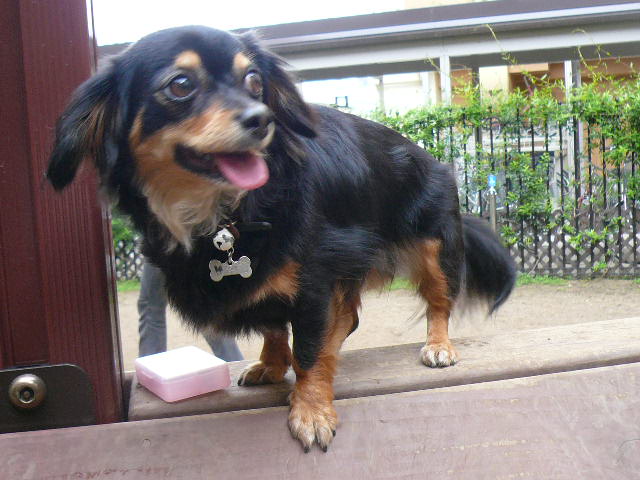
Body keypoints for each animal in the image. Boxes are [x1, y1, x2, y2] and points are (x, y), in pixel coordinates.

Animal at [47, 26, 516, 452]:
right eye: (180, 85)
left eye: (255, 81)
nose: (262, 118)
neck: (225, 213)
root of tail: (433, 159)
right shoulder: (276, 280)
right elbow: (274, 326)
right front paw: (273, 365)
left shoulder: (314, 281)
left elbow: (307, 349)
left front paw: (310, 409)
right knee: (348, 317)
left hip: (434, 248)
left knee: (438, 302)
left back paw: (438, 345)